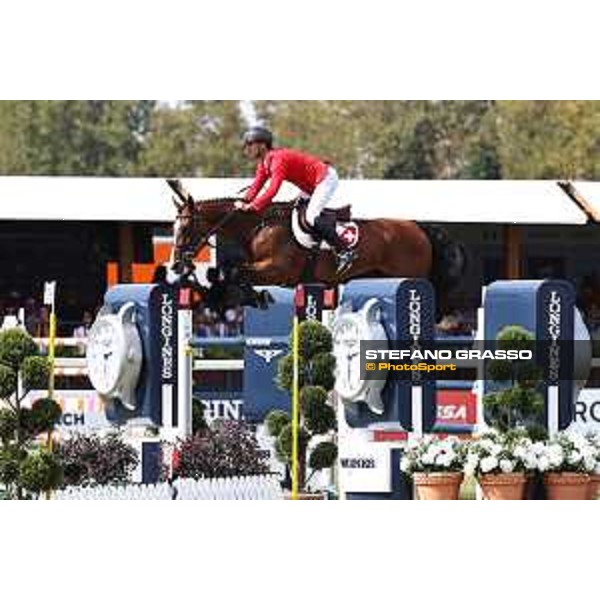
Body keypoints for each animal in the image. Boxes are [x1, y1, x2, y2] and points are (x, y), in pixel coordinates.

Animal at [166, 178, 466, 318]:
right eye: (172, 228)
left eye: (185, 229)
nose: (176, 265)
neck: (259, 226)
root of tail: (418, 227)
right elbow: (232, 273)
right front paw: (250, 297)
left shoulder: (278, 270)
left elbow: (235, 272)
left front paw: (255, 297)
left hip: (409, 275)